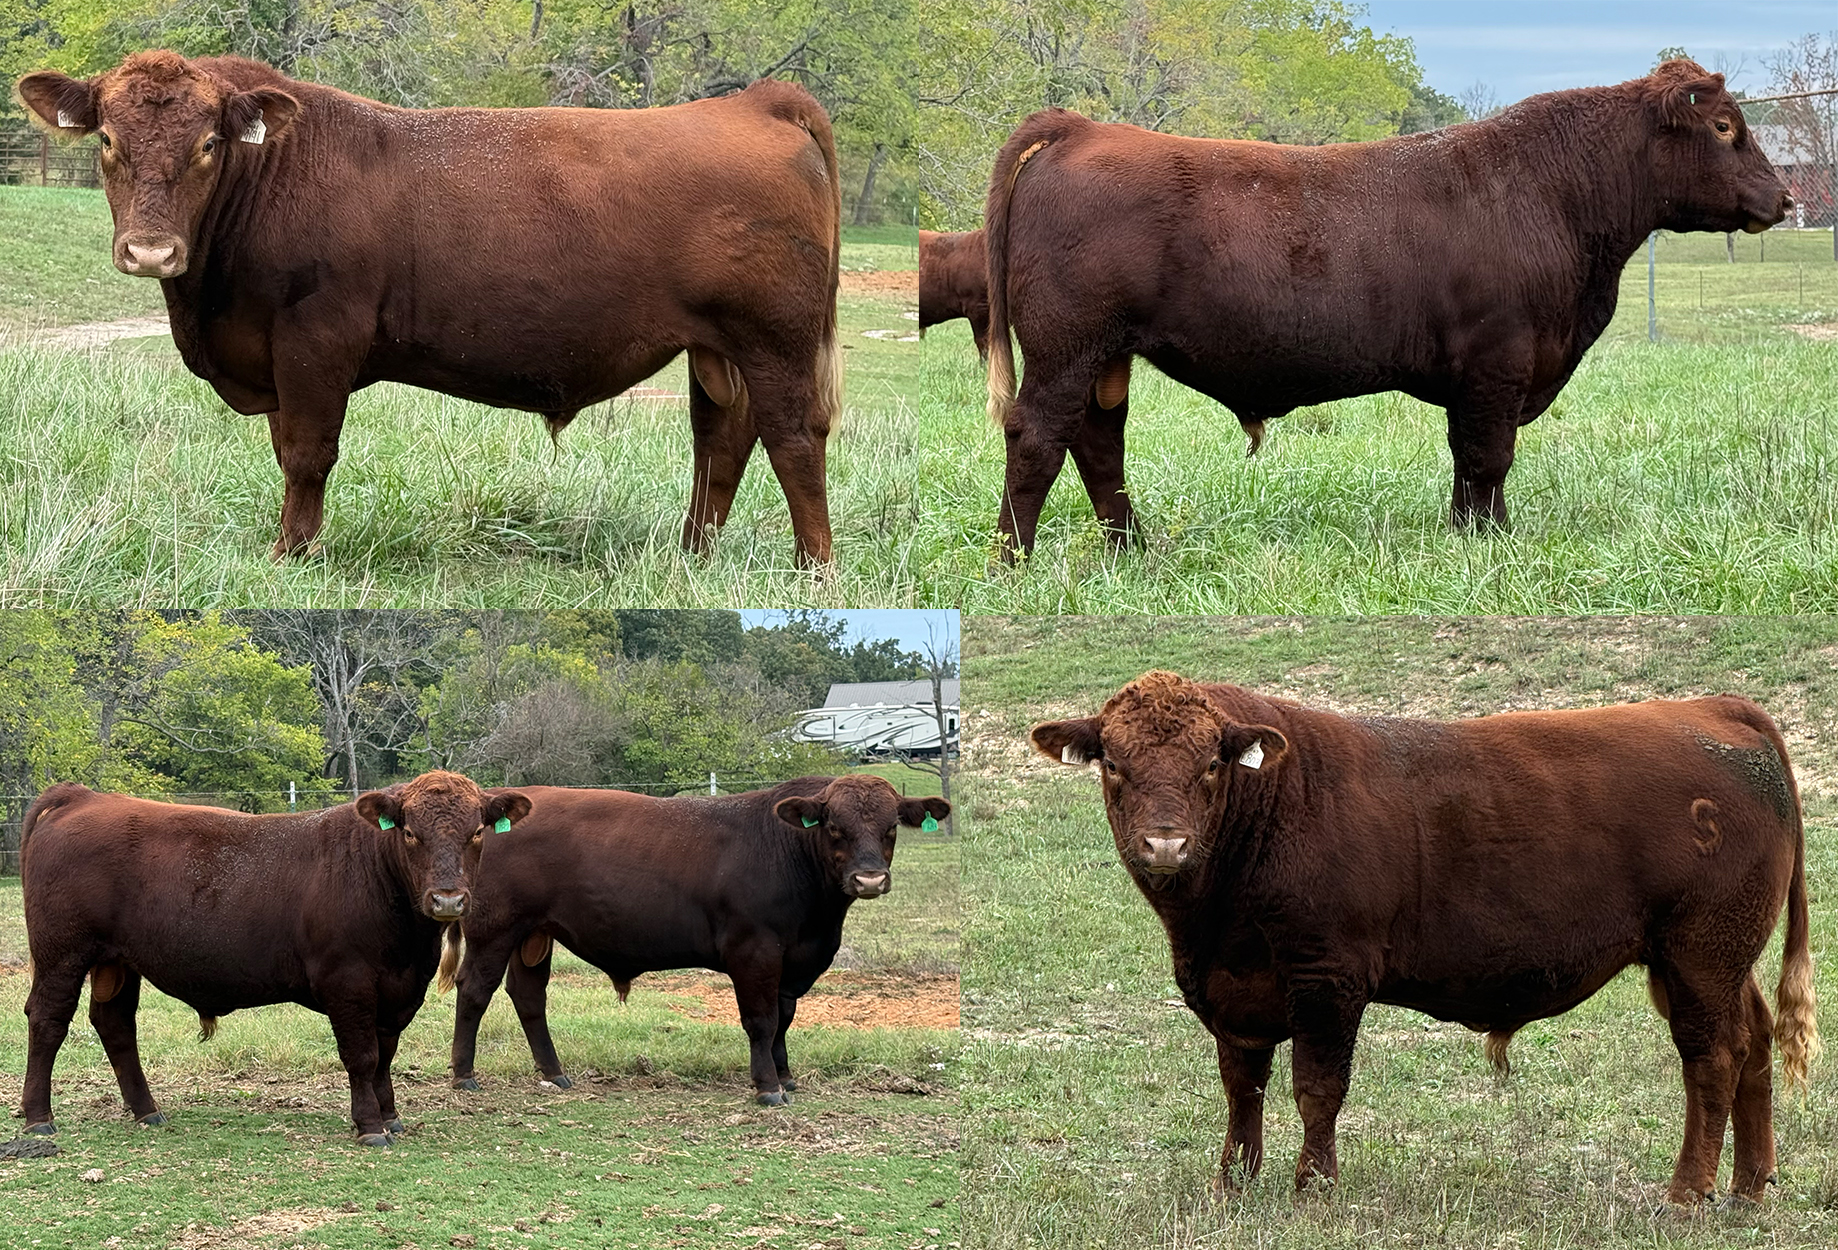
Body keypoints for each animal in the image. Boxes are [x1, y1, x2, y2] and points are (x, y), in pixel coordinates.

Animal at [15, 52, 842, 565]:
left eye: (210, 144)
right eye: (108, 140)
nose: (151, 251)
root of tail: (758, 101)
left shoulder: (317, 338)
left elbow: (308, 453)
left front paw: (293, 554)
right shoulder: (279, 358)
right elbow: (288, 450)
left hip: (777, 340)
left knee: (794, 442)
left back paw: (813, 568)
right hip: (718, 350)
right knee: (720, 443)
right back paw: (690, 556)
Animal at [18, 771, 532, 1145]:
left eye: (477, 832)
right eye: (409, 832)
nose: (448, 900)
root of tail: (83, 797)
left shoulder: (400, 988)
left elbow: (385, 1054)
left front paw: (390, 1116)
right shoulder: (347, 982)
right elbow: (362, 1055)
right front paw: (369, 1126)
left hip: (119, 962)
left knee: (116, 1024)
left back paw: (147, 1111)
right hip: (62, 954)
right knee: (47, 1020)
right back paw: (38, 1118)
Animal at [447, 775, 951, 1104]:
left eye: (890, 828)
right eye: (834, 827)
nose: (869, 880)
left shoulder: (792, 959)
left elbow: (784, 1019)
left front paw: (786, 1077)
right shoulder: (755, 951)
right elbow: (762, 1020)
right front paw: (768, 1088)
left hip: (534, 934)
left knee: (529, 996)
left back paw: (554, 1073)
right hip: (494, 929)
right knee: (474, 990)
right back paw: (464, 1075)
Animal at [983, 60, 1792, 556]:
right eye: (1725, 127)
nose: (1785, 199)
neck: (1553, 196)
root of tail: (1081, 127)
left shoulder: (1476, 379)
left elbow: (1468, 461)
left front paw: (1471, 533)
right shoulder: (1499, 361)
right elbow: (1490, 455)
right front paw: (1491, 543)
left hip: (1104, 357)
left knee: (1098, 445)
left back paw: (1134, 552)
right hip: (1066, 349)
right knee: (1037, 439)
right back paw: (1012, 561)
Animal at [1031, 671, 1816, 1206]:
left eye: (1210, 765)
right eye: (1114, 765)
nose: (1165, 844)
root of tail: (1715, 708)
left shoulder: (1327, 977)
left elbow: (1318, 1088)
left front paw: (1313, 1188)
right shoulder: (1234, 991)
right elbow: (1242, 1087)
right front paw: (1235, 1184)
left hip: (1699, 952)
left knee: (1713, 1058)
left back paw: (1688, 1192)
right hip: (1718, 956)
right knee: (1754, 1044)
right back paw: (1749, 1185)